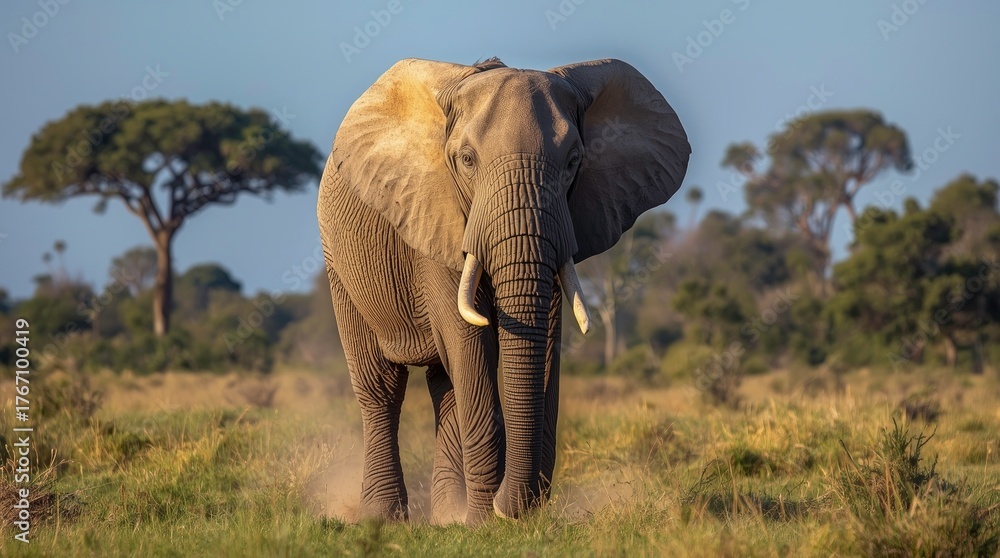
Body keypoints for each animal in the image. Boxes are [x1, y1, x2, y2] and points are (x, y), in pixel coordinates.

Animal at [317, 57, 689, 524]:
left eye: (573, 161)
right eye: (466, 160)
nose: (511, 508)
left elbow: (543, 337)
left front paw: (503, 518)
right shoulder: (437, 218)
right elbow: (468, 339)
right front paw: (483, 523)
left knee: (446, 386)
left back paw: (446, 514)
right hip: (338, 263)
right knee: (383, 387)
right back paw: (384, 517)